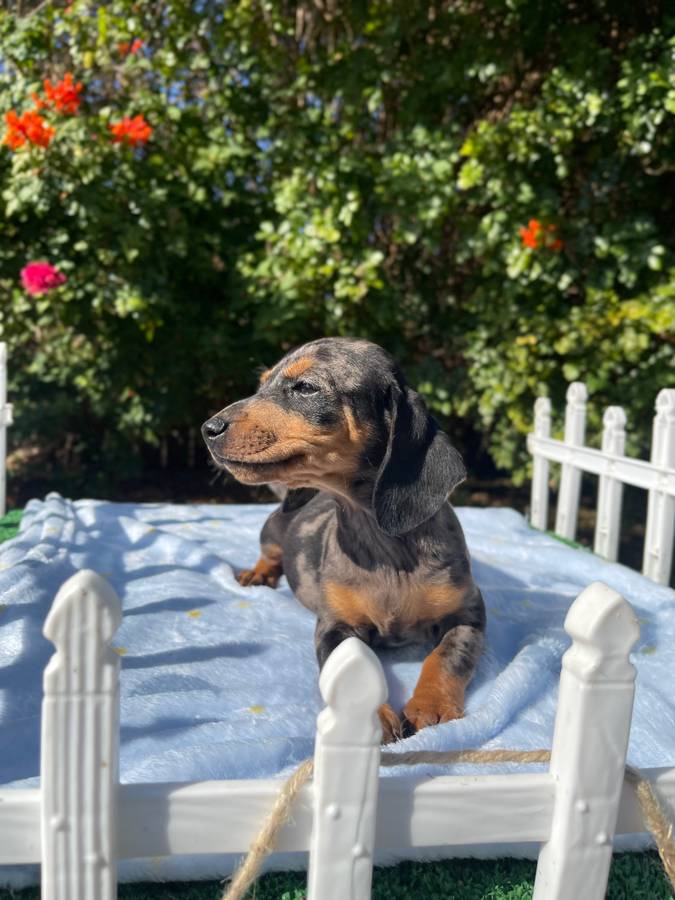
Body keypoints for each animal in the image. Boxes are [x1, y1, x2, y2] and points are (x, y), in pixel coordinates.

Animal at [201, 334, 486, 740]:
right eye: (261, 384)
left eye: (305, 387)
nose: (207, 429)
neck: (384, 548)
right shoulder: (335, 625)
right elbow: (349, 666)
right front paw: (368, 716)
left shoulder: (469, 613)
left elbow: (447, 656)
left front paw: (430, 705)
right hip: (270, 533)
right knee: (270, 555)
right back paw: (259, 573)